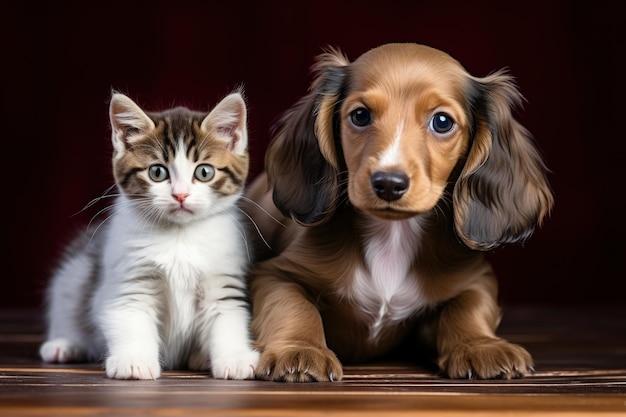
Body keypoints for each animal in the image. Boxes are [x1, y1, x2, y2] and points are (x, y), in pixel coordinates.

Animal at [39, 89, 260, 378]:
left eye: (204, 172)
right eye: (157, 172)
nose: (180, 195)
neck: (180, 235)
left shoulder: (222, 279)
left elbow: (228, 317)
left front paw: (235, 358)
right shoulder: (129, 280)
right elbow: (130, 317)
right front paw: (133, 361)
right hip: (76, 273)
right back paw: (65, 344)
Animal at [241, 42, 552, 380]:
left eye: (442, 122)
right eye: (360, 115)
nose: (389, 183)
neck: (393, 236)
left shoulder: (475, 278)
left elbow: (469, 305)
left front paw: (480, 346)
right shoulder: (275, 273)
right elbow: (293, 305)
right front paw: (300, 350)